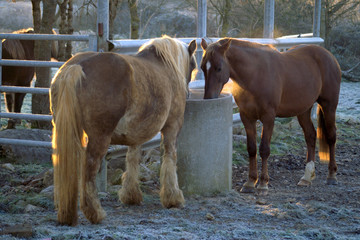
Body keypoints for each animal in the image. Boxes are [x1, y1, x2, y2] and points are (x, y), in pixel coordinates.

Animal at [49, 35, 197, 225]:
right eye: (193, 66)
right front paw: (173, 198)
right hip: (99, 138)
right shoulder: (172, 128)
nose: (188, 93)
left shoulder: (137, 135)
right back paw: (95, 212)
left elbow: (132, 159)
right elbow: (170, 158)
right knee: (89, 168)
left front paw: (131, 195)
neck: (166, 66)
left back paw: (67, 214)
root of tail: (76, 67)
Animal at [201, 37, 342, 195]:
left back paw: (332, 175)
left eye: (219, 67)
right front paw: (250, 182)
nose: (209, 98)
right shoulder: (247, 117)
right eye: (202, 68)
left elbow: (264, 149)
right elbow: (251, 148)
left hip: (329, 106)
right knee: (310, 136)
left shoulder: (268, 117)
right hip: (303, 110)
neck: (255, 75)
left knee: (331, 136)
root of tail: (328, 56)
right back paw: (306, 177)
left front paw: (263, 184)